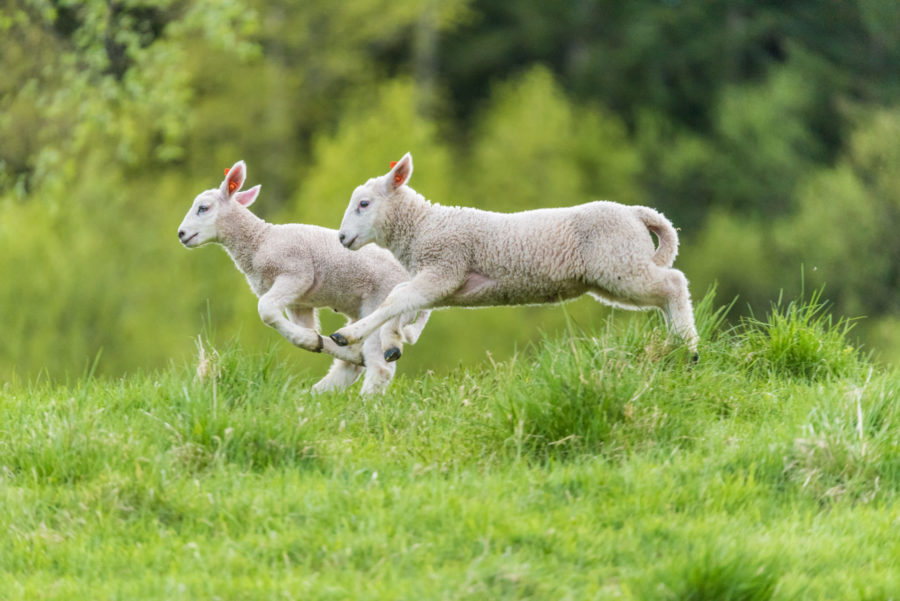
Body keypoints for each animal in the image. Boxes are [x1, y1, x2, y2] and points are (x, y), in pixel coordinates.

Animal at [176, 160, 430, 395]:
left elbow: (266, 310)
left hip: (380, 303)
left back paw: (364, 401)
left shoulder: (296, 273)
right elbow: (296, 325)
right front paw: (312, 340)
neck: (260, 241)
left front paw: (310, 340)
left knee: (379, 366)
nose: (181, 234)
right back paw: (320, 389)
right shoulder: (299, 303)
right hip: (361, 311)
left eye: (203, 208)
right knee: (354, 362)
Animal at [329, 152, 699, 362]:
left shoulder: (444, 266)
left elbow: (396, 299)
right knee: (663, 294)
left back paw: (690, 347)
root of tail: (637, 213)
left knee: (674, 283)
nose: (342, 238)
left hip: (620, 263)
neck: (423, 226)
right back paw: (676, 346)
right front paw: (392, 343)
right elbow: (402, 302)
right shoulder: (442, 282)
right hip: (615, 271)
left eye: (364, 203)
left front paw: (348, 335)